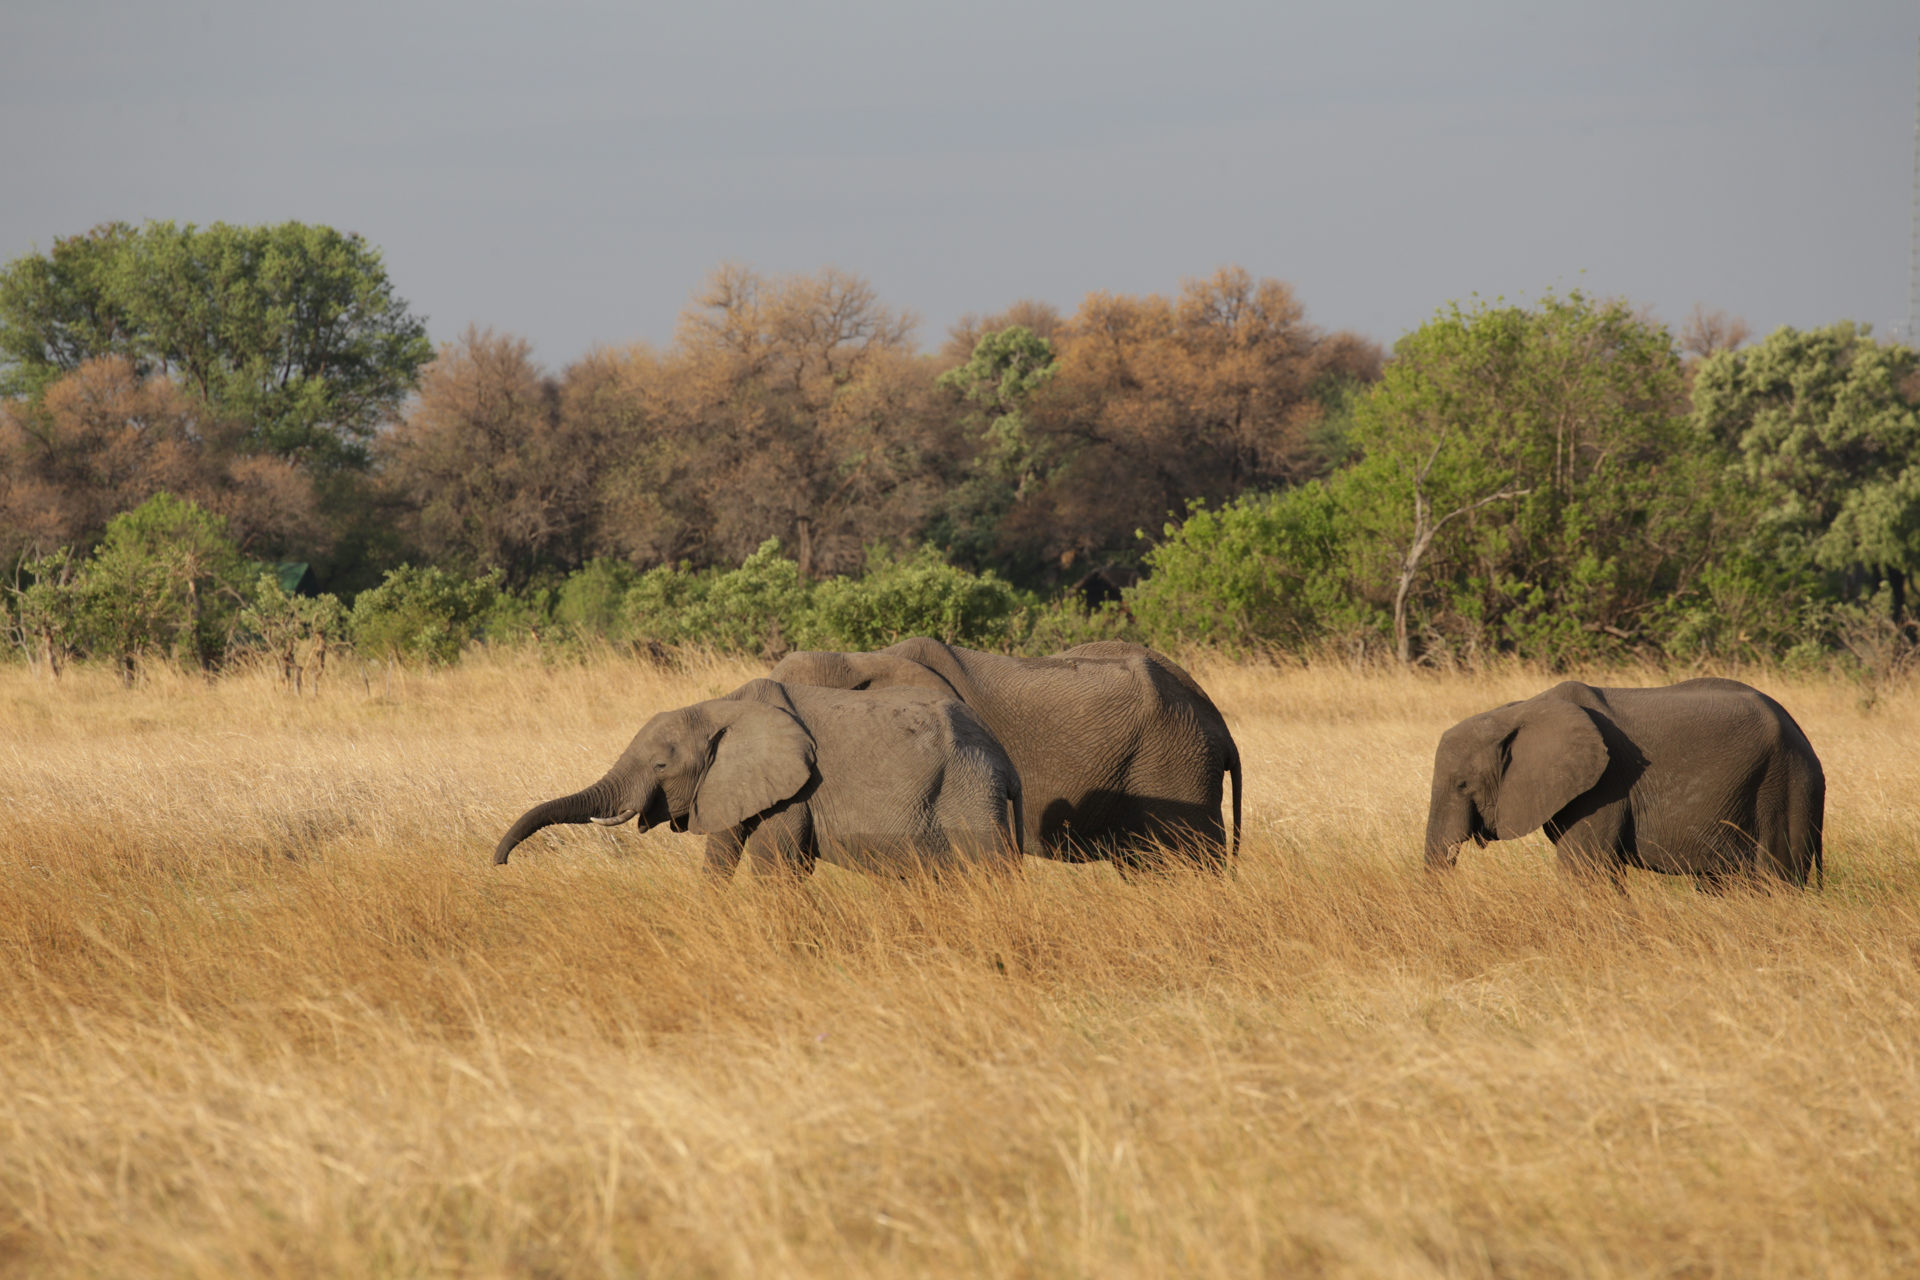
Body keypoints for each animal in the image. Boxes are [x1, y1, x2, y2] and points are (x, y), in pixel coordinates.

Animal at [495, 679, 1036, 882]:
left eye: (660, 767)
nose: (498, 865)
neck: (722, 707)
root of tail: (1006, 760)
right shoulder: (726, 783)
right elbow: (720, 855)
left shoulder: (794, 792)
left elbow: (776, 865)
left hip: (968, 789)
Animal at [1428, 675, 1827, 886]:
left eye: (1462, 785)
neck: (1520, 710)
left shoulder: (1605, 786)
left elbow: (1584, 871)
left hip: (1786, 784)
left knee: (1777, 878)